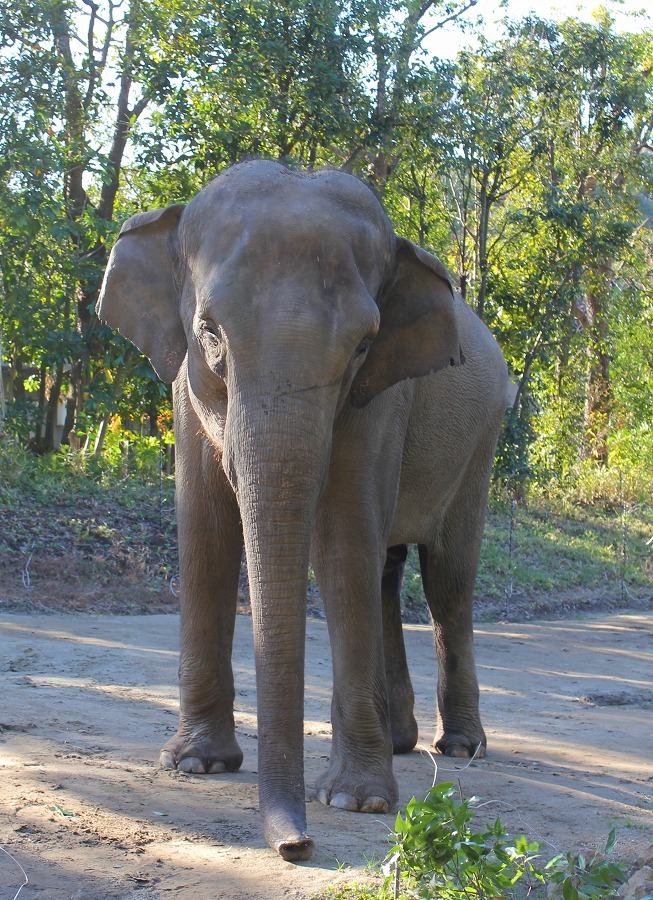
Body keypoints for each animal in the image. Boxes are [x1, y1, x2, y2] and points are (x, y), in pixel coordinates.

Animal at [95, 158, 510, 860]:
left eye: (365, 344)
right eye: (209, 332)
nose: (297, 846)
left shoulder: (382, 396)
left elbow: (342, 545)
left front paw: (357, 801)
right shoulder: (184, 380)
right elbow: (204, 533)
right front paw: (196, 764)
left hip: (481, 442)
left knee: (446, 580)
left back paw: (458, 748)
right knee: (387, 572)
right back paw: (401, 741)